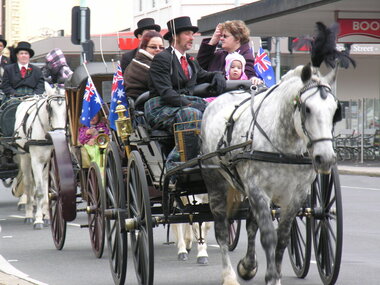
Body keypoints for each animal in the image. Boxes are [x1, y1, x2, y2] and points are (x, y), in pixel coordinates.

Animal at [13, 86, 66, 229]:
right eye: (50, 108)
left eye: (67, 107)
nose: (60, 133)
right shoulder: (36, 161)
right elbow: (40, 191)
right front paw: (38, 220)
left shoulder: (50, 161)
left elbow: (48, 190)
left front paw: (46, 217)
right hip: (25, 157)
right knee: (28, 183)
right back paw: (28, 213)